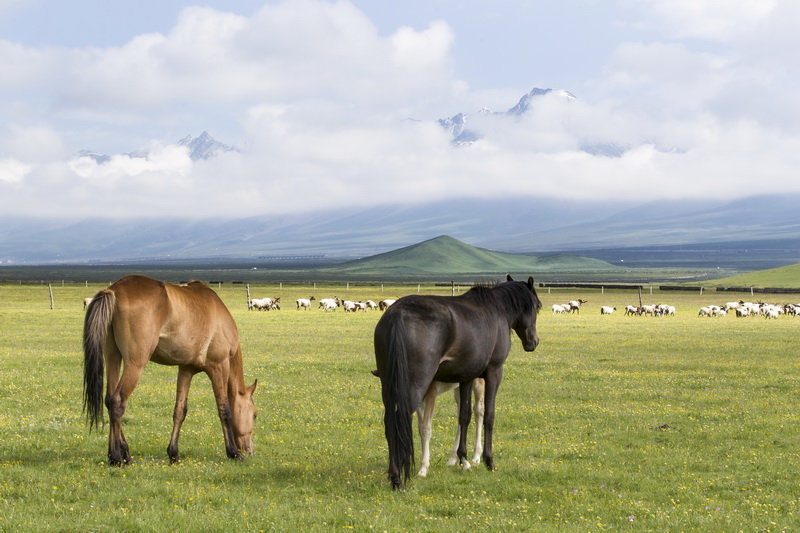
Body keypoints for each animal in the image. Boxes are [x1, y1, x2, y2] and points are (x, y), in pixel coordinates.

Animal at [82, 274, 256, 466]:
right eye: (254, 415)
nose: (250, 451)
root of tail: (114, 290)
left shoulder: (186, 369)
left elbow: (180, 411)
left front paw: (173, 453)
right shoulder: (219, 366)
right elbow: (224, 409)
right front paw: (233, 452)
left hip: (113, 357)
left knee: (108, 399)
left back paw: (116, 454)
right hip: (135, 364)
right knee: (117, 402)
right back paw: (119, 456)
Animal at [374, 276, 536, 488]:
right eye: (536, 307)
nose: (533, 342)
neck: (497, 309)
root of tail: (397, 314)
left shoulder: (466, 377)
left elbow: (464, 416)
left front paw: (463, 459)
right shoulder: (494, 372)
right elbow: (489, 416)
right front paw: (488, 461)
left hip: (392, 385)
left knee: (391, 421)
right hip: (415, 387)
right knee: (398, 420)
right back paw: (398, 478)